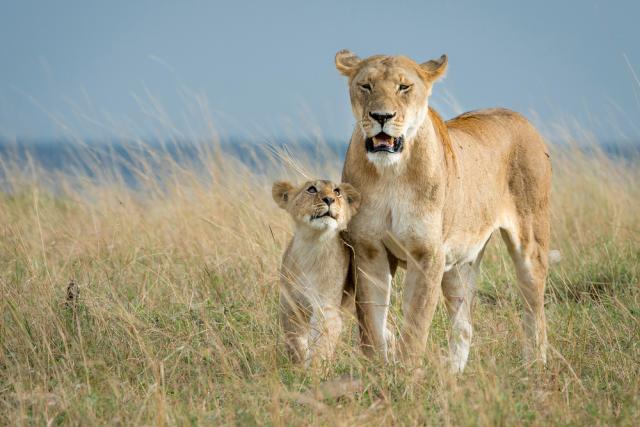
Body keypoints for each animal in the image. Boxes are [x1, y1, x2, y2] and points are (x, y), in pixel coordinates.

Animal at [272, 179, 361, 365]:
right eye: (312, 189)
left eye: (337, 192)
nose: (329, 199)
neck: (312, 244)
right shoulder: (290, 305)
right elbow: (295, 340)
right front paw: (297, 364)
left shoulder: (326, 308)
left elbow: (321, 346)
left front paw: (314, 368)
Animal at [335, 50, 554, 372]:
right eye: (366, 86)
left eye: (404, 87)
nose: (381, 117)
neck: (391, 173)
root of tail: (520, 118)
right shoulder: (368, 249)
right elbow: (372, 322)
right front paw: (377, 371)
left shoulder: (427, 255)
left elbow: (415, 324)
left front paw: (407, 375)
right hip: (459, 265)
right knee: (464, 325)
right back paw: (453, 375)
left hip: (530, 245)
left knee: (535, 311)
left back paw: (535, 367)